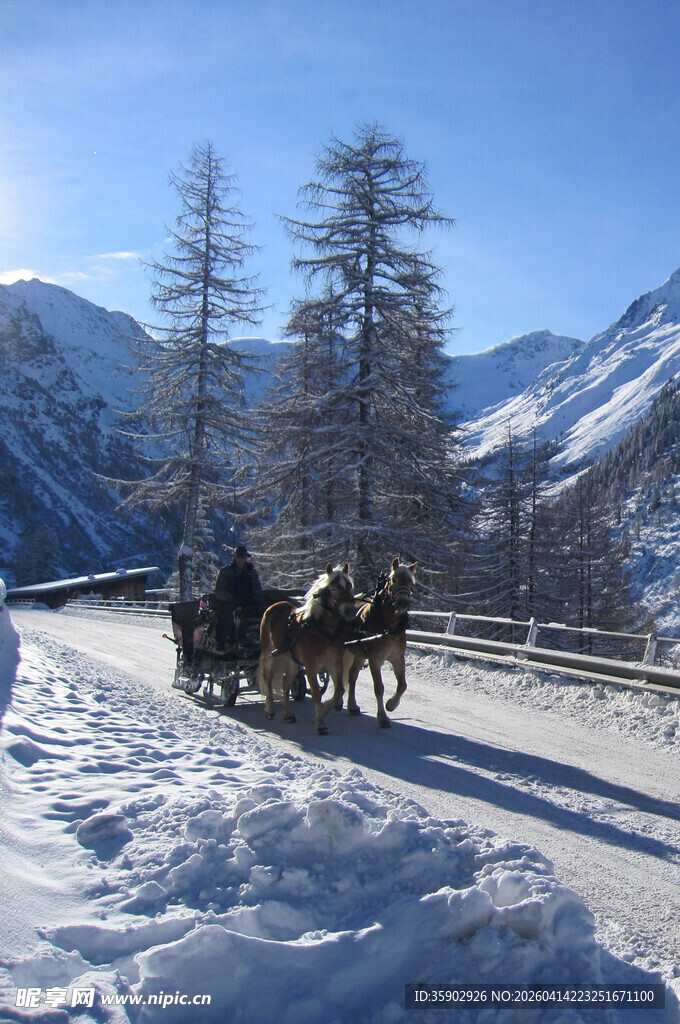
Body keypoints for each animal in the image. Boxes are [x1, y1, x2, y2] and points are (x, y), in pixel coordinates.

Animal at [258, 563, 356, 734]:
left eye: (350, 586)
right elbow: (316, 693)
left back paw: (287, 714)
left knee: (286, 683)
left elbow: (339, 690)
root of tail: (274, 605)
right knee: (268, 678)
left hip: (293, 662)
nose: (350, 610)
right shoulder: (311, 666)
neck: (321, 631)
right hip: (269, 654)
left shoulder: (335, 665)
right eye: (333, 588)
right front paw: (320, 723)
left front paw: (324, 710)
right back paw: (270, 710)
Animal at [342, 557, 418, 727]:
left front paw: (391, 705)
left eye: (411, 582)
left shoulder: (398, 658)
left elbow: (402, 685)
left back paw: (352, 705)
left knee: (352, 676)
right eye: (394, 579)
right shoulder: (375, 659)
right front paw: (382, 716)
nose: (403, 603)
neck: (389, 627)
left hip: (359, 654)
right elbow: (379, 687)